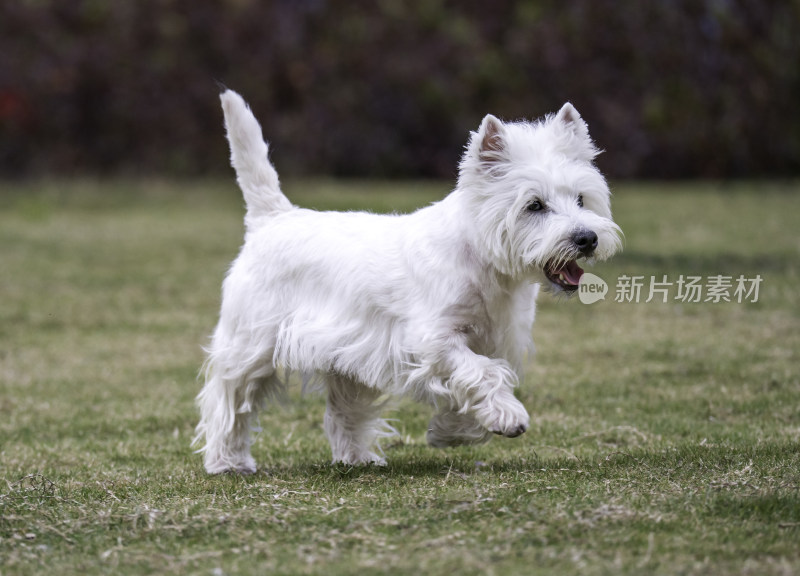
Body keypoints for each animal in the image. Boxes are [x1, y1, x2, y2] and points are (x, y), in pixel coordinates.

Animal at [192, 90, 620, 472]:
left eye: (581, 199)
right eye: (534, 205)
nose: (586, 238)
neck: (485, 266)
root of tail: (274, 217)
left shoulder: (495, 339)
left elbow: (480, 378)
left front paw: (453, 430)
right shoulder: (432, 339)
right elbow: (482, 373)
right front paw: (507, 417)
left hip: (347, 361)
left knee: (343, 410)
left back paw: (358, 458)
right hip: (251, 342)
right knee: (228, 398)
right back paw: (227, 461)